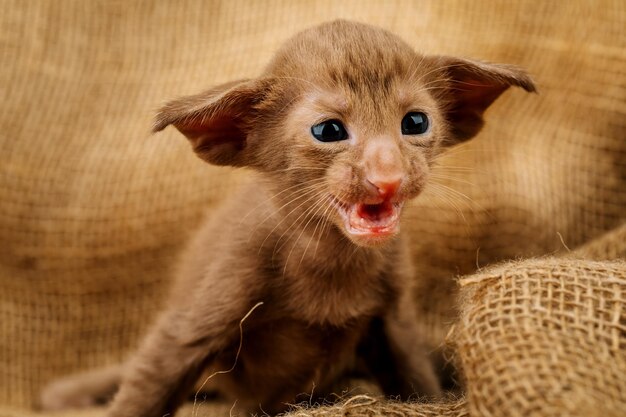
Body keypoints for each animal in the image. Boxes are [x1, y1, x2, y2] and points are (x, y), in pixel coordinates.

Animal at [41, 20, 532, 416]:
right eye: (328, 131)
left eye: (414, 123)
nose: (389, 177)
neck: (330, 260)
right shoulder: (198, 316)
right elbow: (147, 384)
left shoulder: (394, 320)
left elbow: (416, 379)